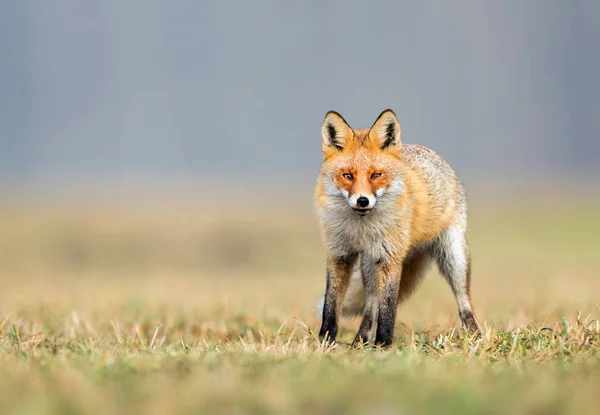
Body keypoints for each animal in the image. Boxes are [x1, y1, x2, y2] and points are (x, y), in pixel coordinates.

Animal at [314, 109, 478, 346]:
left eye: (376, 175)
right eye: (348, 176)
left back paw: (476, 337)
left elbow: (388, 309)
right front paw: (325, 342)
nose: (362, 201)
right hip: (369, 267)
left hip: (454, 257)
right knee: (370, 308)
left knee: (465, 303)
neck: (360, 230)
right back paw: (360, 341)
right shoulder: (339, 254)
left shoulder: (390, 258)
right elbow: (331, 305)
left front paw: (383, 344)